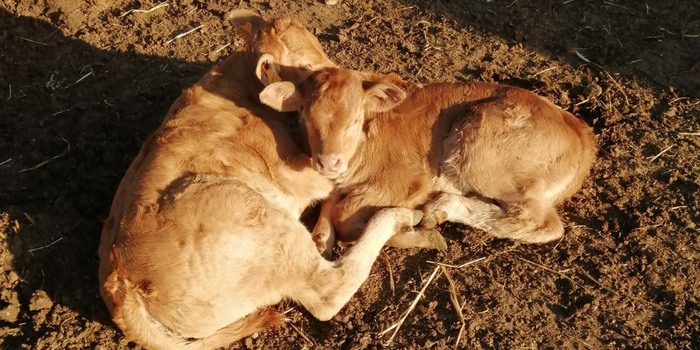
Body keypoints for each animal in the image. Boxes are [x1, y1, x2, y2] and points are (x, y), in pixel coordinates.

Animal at [260, 67, 600, 249]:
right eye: (306, 117)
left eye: (355, 119)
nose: (329, 162)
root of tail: (582, 131)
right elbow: (330, 204)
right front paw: (321, 237)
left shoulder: (407, 180)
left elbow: (347, 214)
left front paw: (415, 234)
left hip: (479, 153)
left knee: (543, 223)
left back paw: (439, 207)